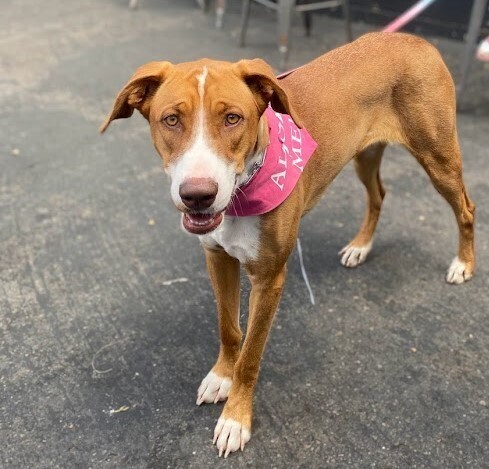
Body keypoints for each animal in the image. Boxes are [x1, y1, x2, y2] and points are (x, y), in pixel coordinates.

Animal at [102, 33, 472, 458]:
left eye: (233, 118)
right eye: (171, 119)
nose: (197, 196)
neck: (244, 190)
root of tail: (413, 38)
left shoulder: (269, 278)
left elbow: (251, 355)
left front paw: (236, 418)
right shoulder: (217, 258)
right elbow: (228, 329)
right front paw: (221, 376)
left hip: (439, 158)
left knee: (466, 208)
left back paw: (464, 263)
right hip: (364, 155)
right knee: (378, 194)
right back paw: (361, 246)